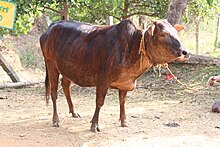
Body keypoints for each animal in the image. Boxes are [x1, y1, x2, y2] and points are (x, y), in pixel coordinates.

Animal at [39, 19, 189, 132]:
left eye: (176, 33)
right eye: (163, 34)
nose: (185, 52)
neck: (132, 48)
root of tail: (51, 26)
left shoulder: (125, 83)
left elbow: (122, 101)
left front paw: (124, 121)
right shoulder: (102, 81)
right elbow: (99, 102)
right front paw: (94, 125)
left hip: (67, 68)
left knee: (65, 86)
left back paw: (73, 112)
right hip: (51, 64)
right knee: (53, 92)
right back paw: (56, 120)